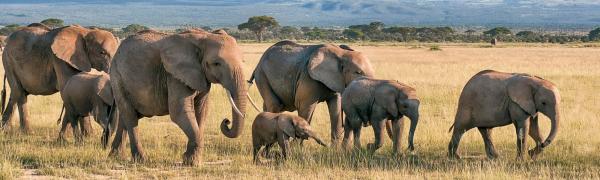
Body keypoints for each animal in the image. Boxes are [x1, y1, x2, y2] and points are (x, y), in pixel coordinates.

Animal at [108, 29, 248, 166]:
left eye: (243, 60)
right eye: (216, 63)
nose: (226, 121)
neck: (204, 36)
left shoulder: (201, 76)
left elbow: (201, 112)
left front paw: (190, 160)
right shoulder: (174, 75)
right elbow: (179, 112)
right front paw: (191, 162)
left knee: (125, 117)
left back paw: (115, 156)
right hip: (117, 77)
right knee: (130, 117)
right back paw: (141, 160)